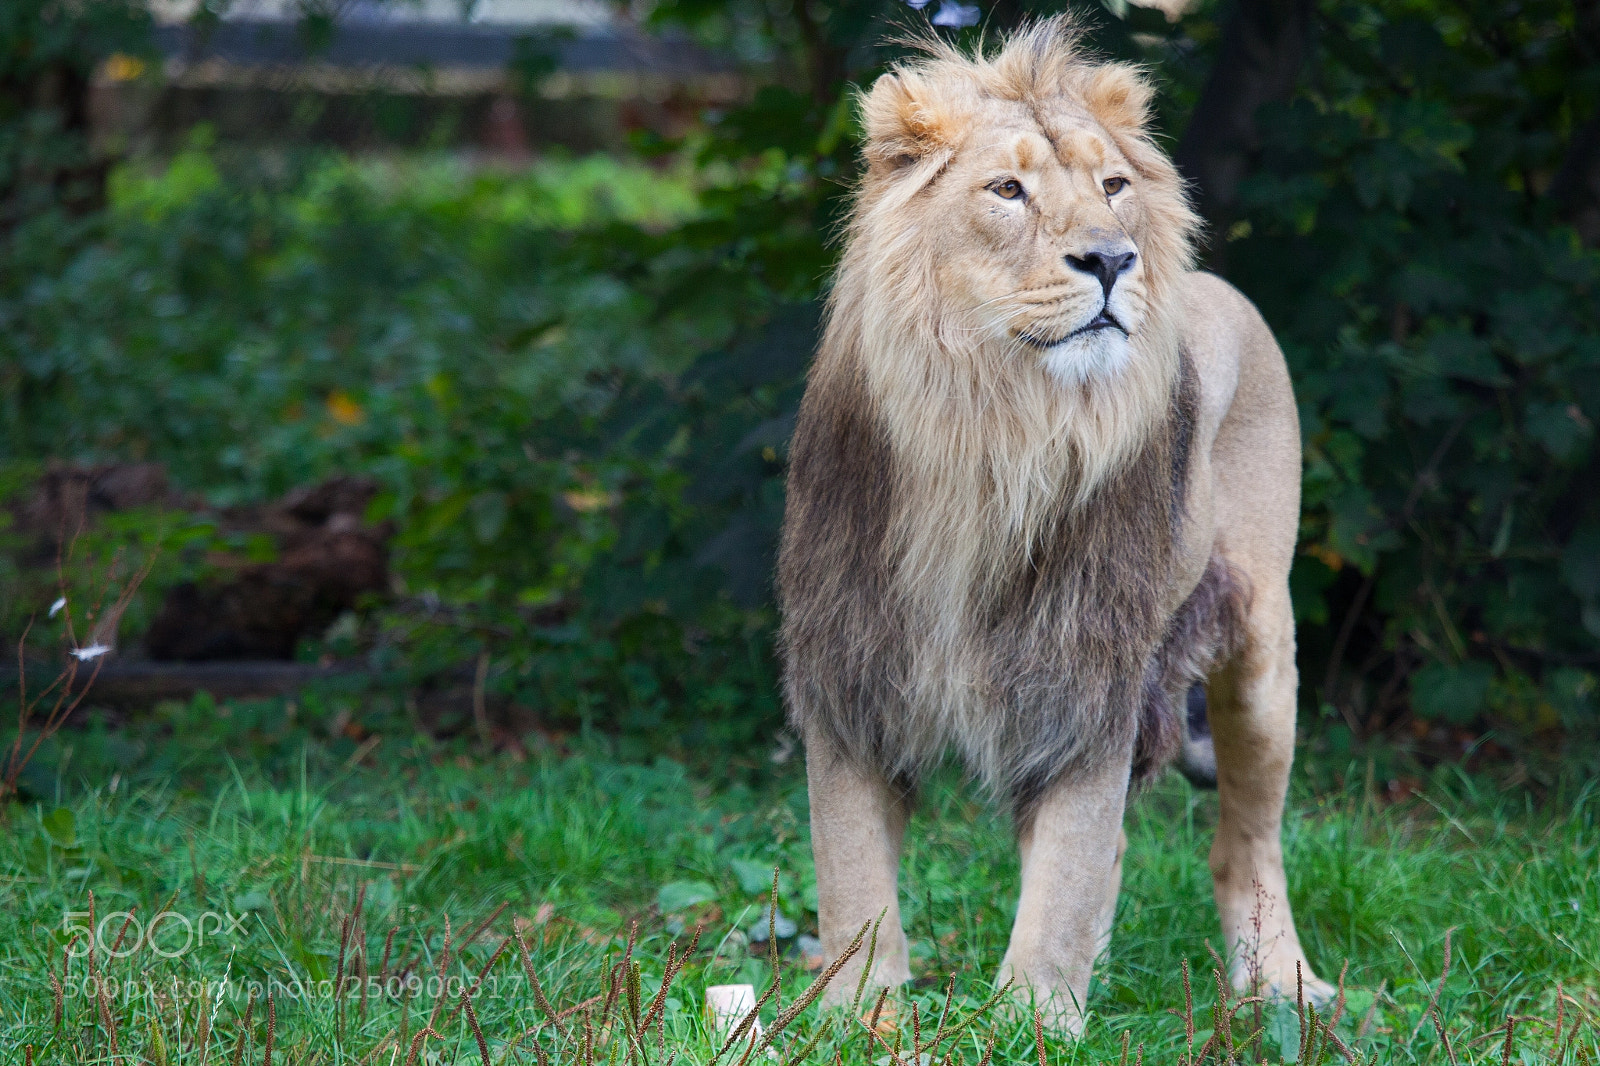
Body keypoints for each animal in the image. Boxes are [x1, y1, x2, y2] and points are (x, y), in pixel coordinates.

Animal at [776, 19, 1333, 1031]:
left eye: (1112, 186)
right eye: (1008, 190)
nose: (1112, 259)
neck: (991, 435)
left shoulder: (1083, 672)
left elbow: (1067, 863)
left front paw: (1033, 1019)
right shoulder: (849, 665)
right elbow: (852, 873)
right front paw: (855, 1017)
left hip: (1263, 651)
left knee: (1248, 839)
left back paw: (1283, 986)